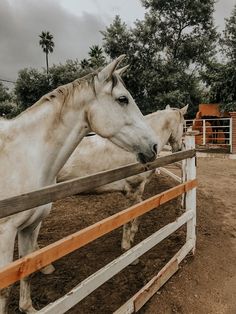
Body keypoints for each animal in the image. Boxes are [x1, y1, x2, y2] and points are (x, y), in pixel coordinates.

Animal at [0, 55, 159, 312]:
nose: (154, 146)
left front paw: (28, 307)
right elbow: (4, 288)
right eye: (122, 99)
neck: (24, 157)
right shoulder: (5, 232)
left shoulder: (29, 227)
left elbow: (26, 271)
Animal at [57, 105, 188, 253]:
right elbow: (129, 217)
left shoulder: (136, 190)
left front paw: (133, 234)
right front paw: (126, 246)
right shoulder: (132, 189)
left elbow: (141, 208)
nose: (179, 149)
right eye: (184, 126)